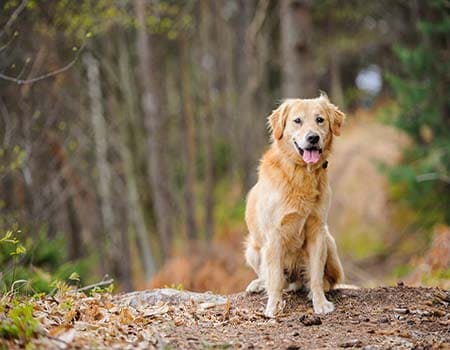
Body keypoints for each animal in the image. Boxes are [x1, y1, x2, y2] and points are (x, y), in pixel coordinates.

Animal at [246, 93, 344, 318]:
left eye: (320, 120)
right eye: (297, 120)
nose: (313, 138)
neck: (301, 174)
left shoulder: (317, 230)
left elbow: (315, 275)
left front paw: (320, 302)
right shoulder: (274, 234)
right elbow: (274, 279)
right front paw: (273, 306)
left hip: (329, 243)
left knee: (326, 280)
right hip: (253, 249)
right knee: (270, 276)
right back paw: (259, 284)